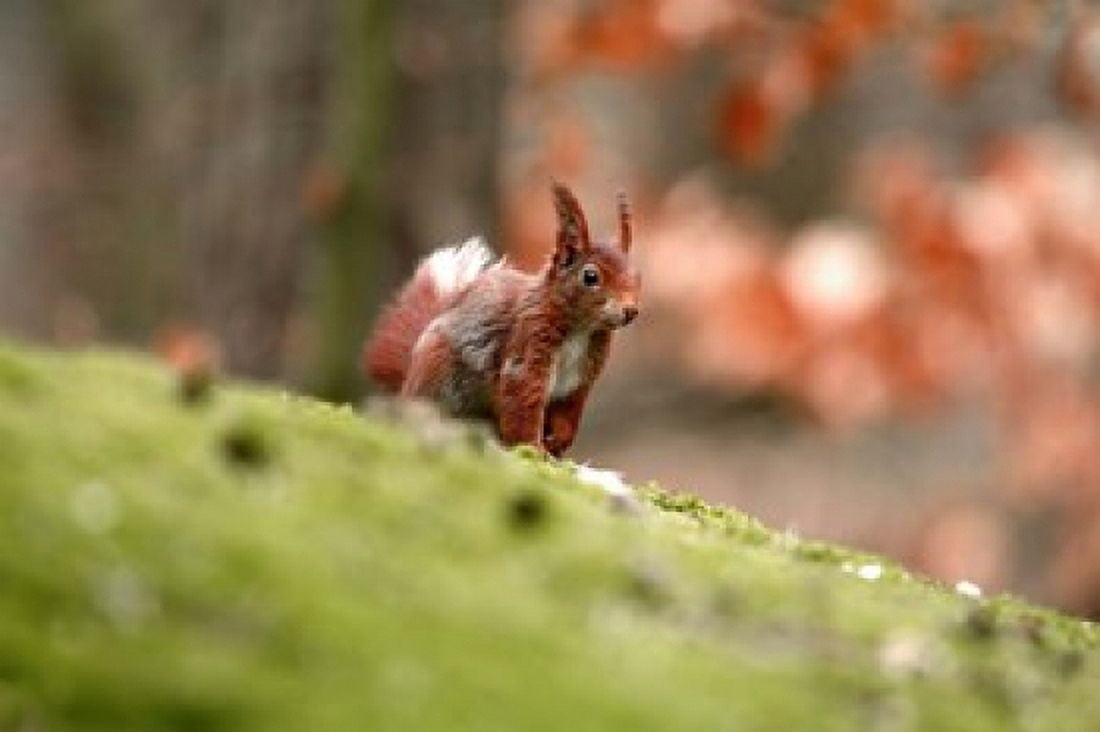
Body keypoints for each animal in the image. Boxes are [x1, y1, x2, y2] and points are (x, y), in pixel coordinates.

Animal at [363, 182, 640, 456]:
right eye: (590, 276)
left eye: (637, 275)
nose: (631, 311)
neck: (581, 329)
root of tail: (408, 380)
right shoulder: (527, 349)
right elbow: (523, 407)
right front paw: (534, 450)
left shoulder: (579, 381)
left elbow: (567, 415)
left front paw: (557, 445)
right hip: (435, 369)